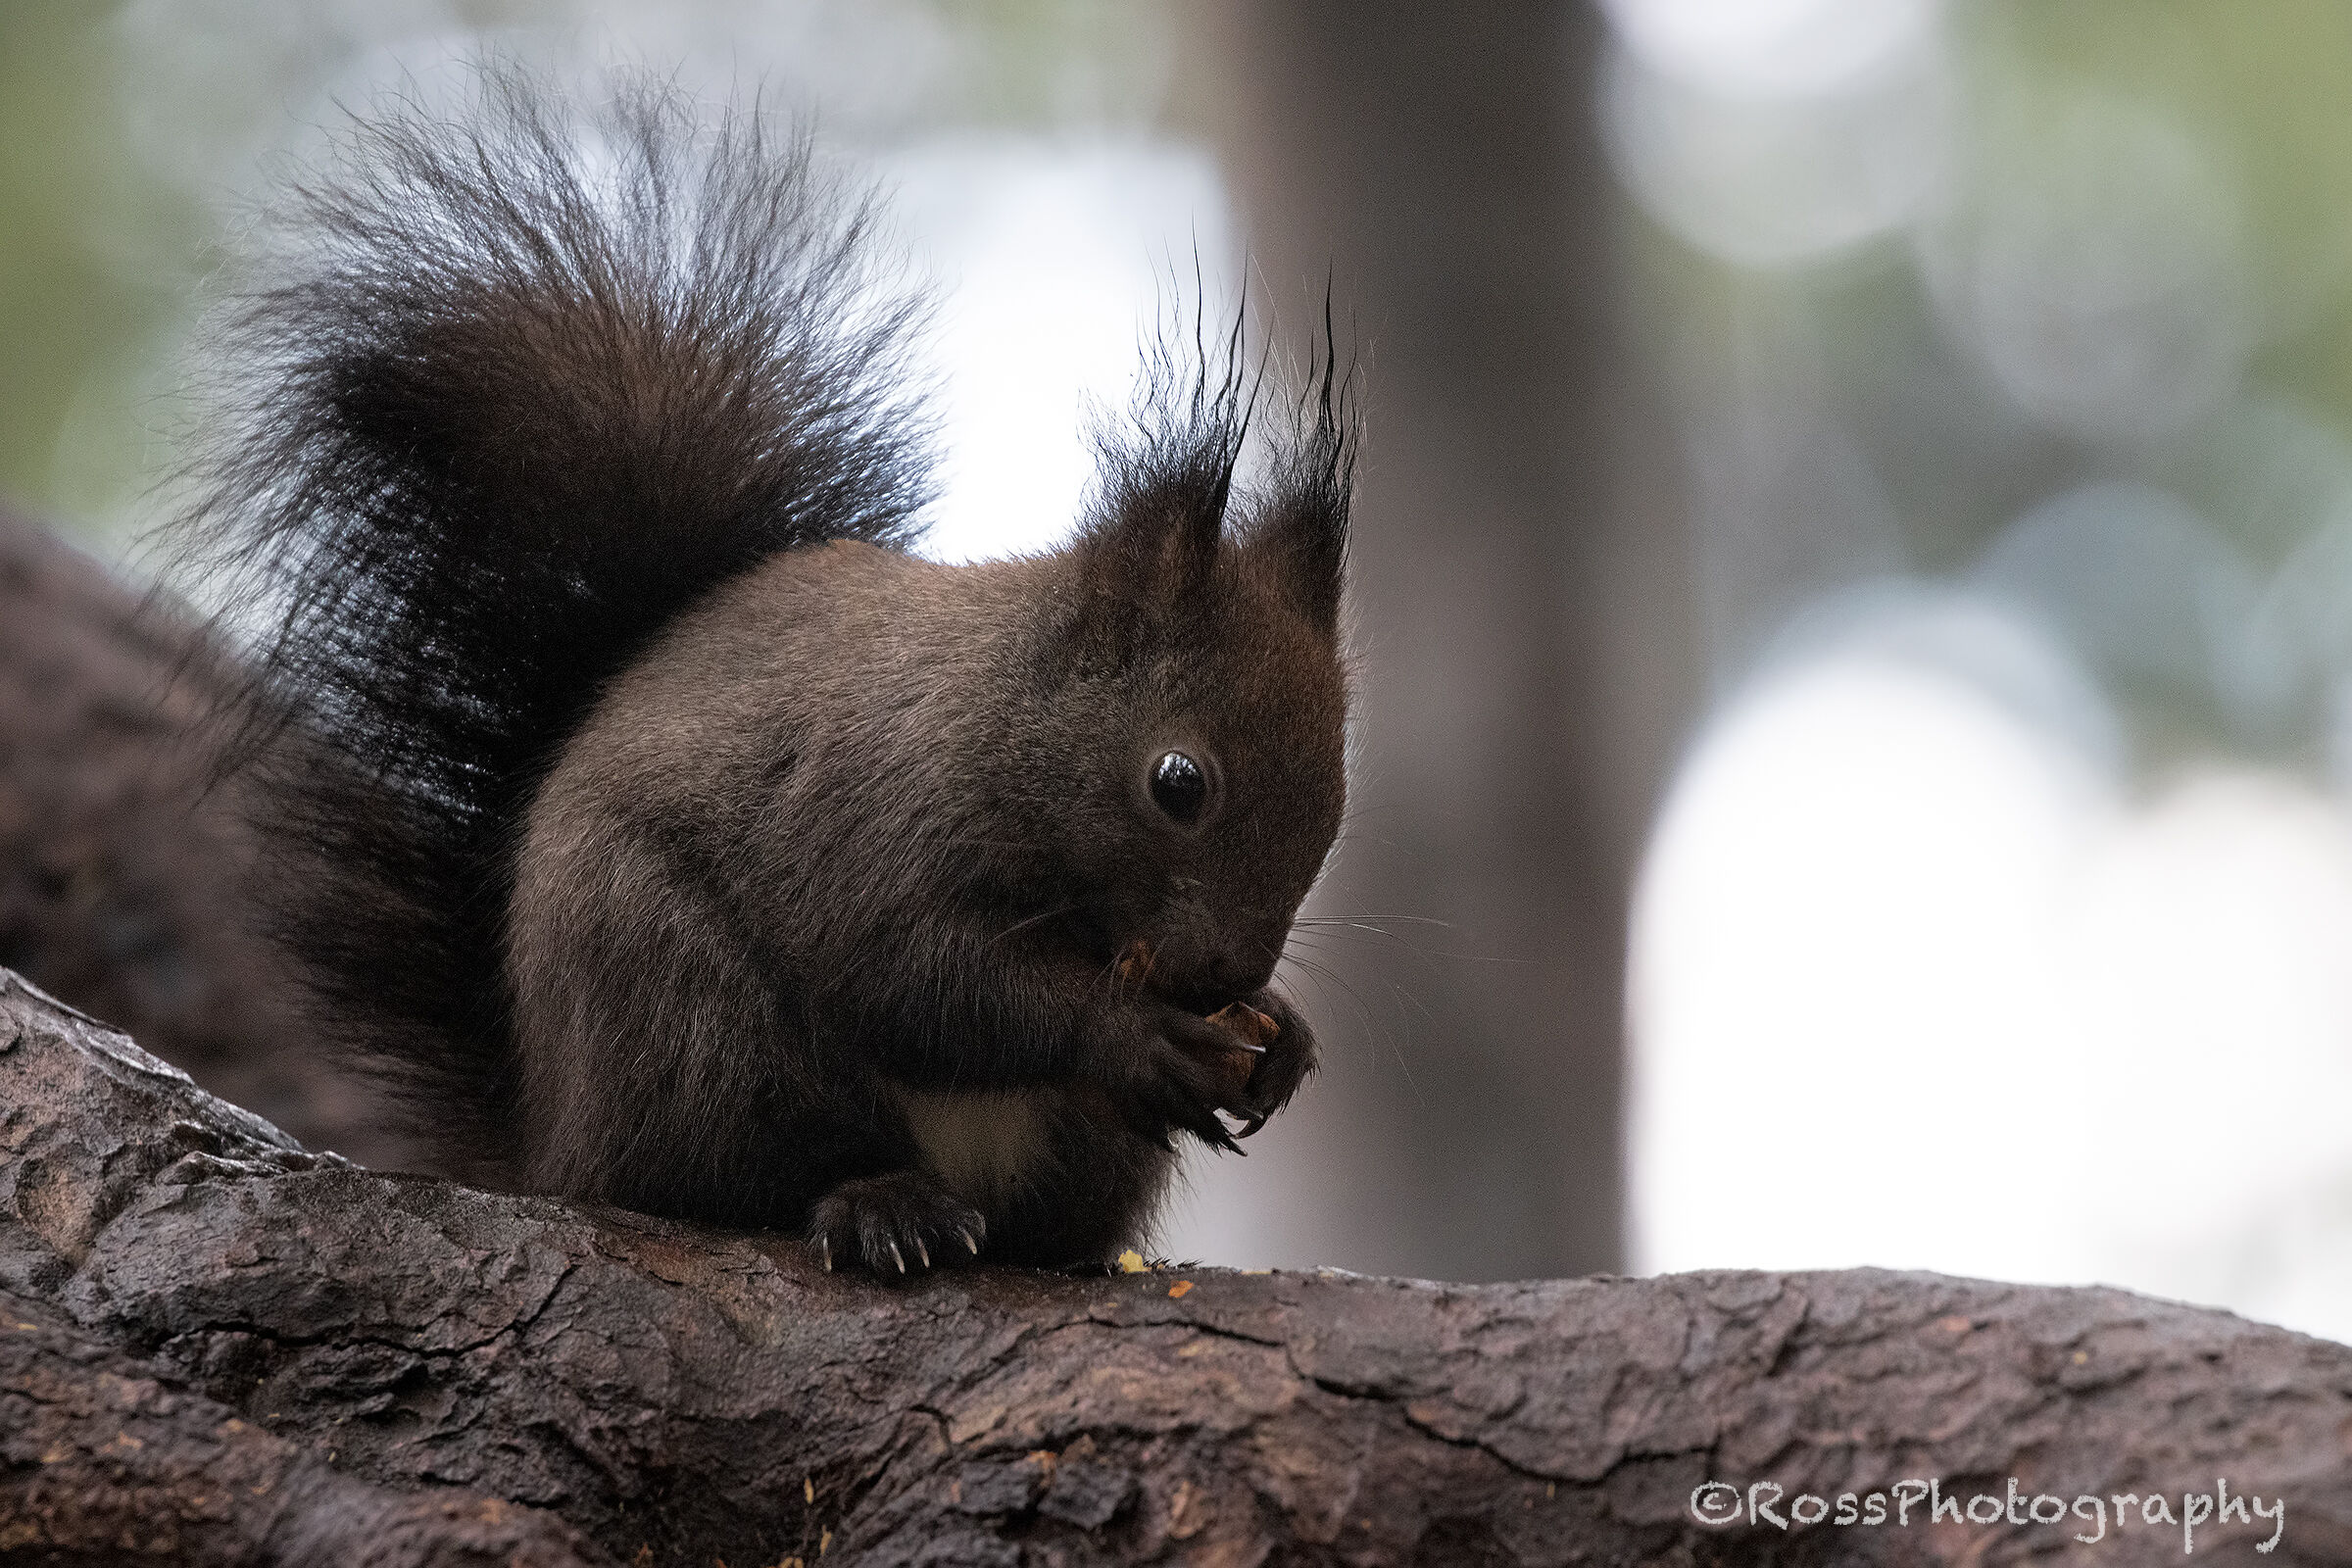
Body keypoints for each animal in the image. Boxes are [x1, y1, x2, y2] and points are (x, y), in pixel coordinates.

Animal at [172, 69, 1355, 1274]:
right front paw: (1135, 1036)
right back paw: (881, 1204)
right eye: (1178, 782)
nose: (1225, 977)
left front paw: (1287, 1037)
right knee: (743, 1175)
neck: (998, 715)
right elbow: (917, 978)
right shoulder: (869, 812)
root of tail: (553, 1143)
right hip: (686, 1014)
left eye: (1339, 793)